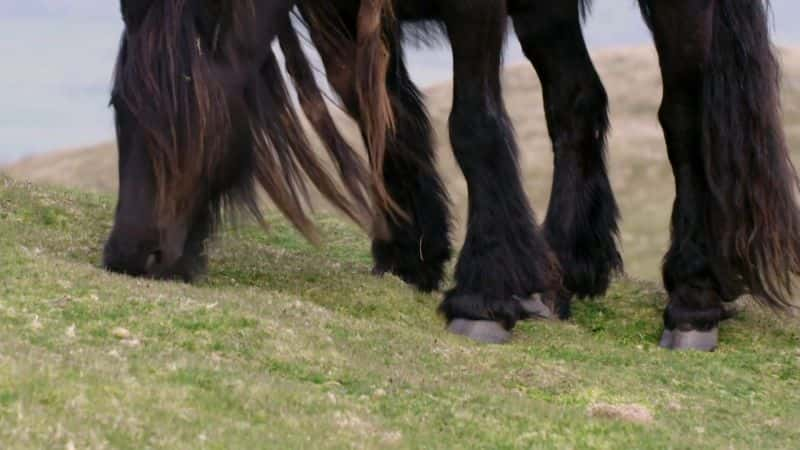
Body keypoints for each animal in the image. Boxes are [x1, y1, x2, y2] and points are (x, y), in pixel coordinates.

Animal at [106, 0, 800, 352]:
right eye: (117, 106)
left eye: (190, 117)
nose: (130, 255)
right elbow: (367, 95)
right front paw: (411, 247)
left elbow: (473, 122)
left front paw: (481, 295)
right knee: (576, 100)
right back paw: (563, 268)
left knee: (682, 114)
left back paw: (692, 299)